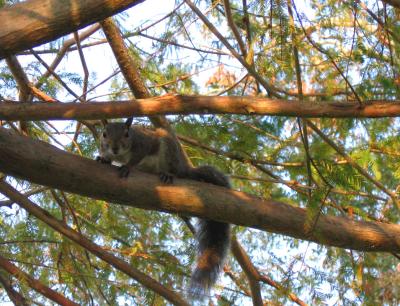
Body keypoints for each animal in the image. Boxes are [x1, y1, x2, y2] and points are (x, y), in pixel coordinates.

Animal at [97, 118, 231, 298]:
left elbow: (136, 158)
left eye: (126, 134)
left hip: (168, 151)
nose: (114, 147)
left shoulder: (143, 144)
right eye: (104, 134)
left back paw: (168, 174)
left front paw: (128, 166)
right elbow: (107, 157)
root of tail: (185, 168)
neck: (121, 154)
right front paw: (104, 159)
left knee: (174, 171)